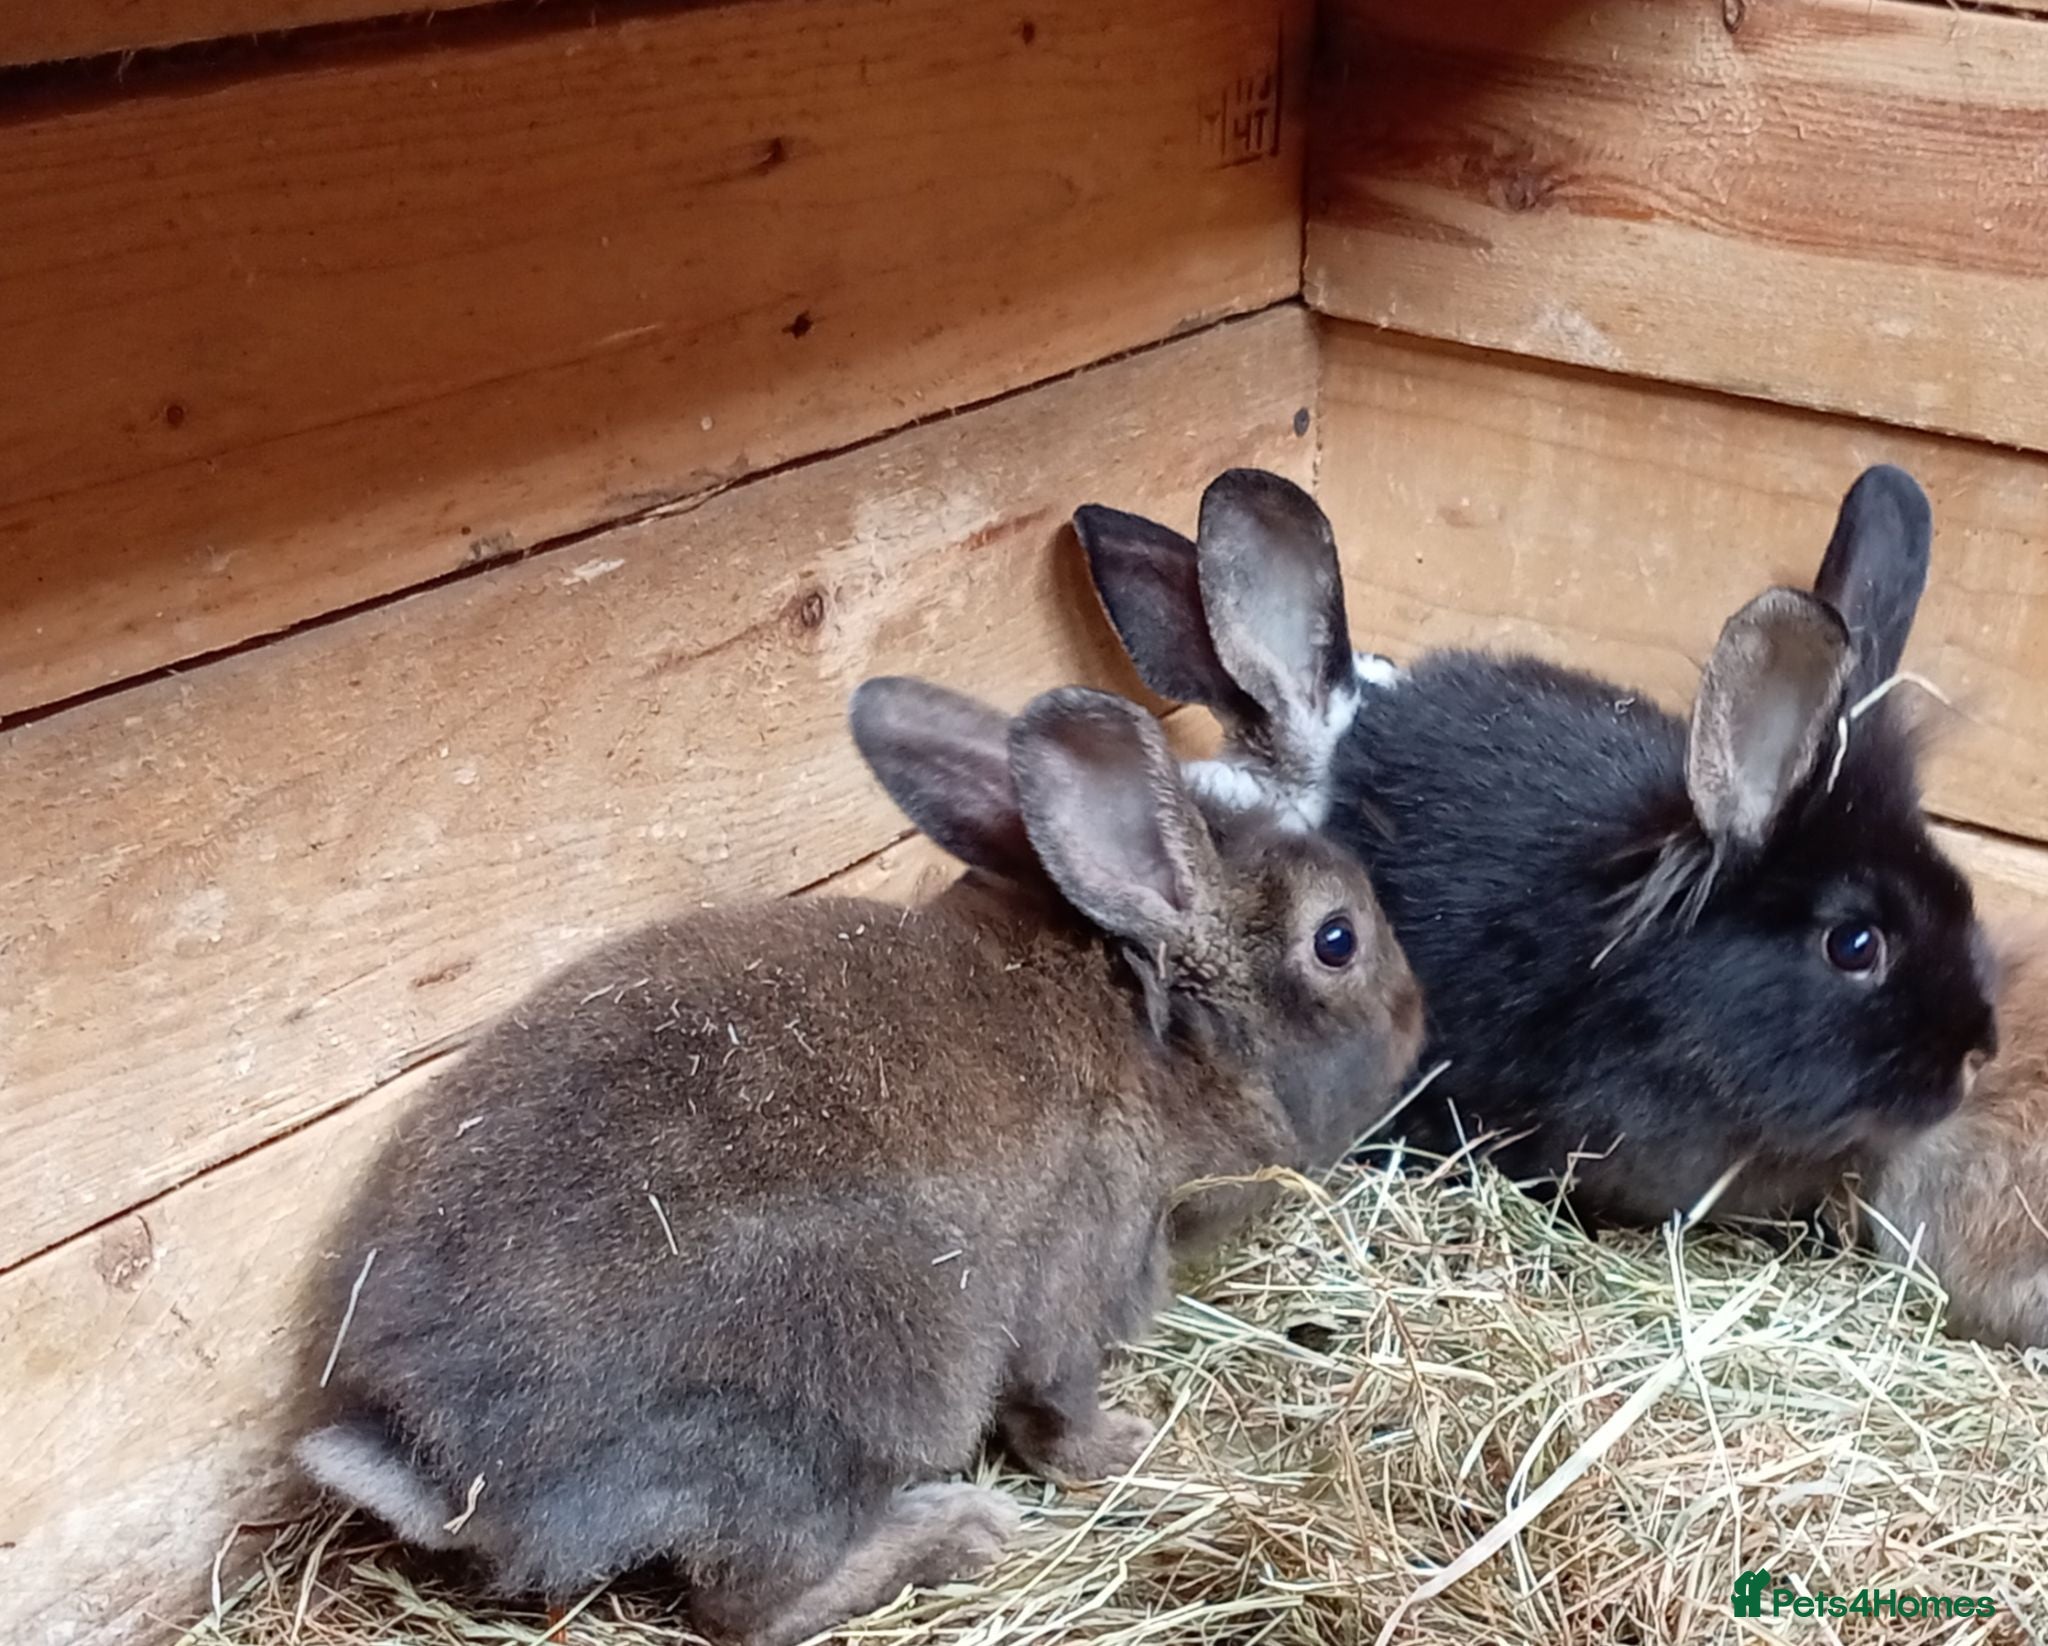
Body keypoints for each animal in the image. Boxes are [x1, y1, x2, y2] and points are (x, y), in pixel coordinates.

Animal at [293, 676, 1422, 1646]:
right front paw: (1126, 1448)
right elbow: (1057, 1408)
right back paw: (953, 1530)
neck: (1145, 1036)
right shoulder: (1076, 1285)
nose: (1416, 1019)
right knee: (746, 1603)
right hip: (846, 1379)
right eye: (1336, 940)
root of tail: (456, 1467)